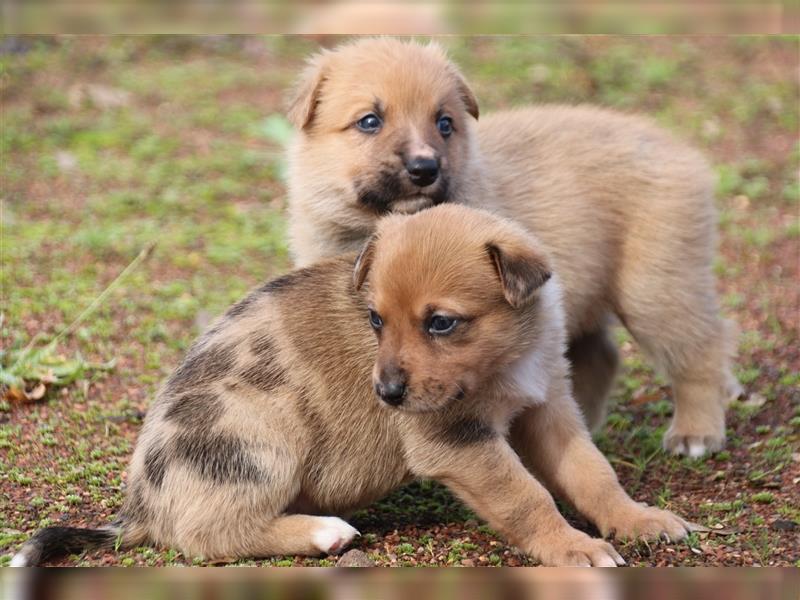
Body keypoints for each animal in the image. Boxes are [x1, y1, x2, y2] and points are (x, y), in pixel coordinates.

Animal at [10, 206, 688, 568]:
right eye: (375, 320)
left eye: (441, 323)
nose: (386, 395)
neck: (504, 360)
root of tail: (140, 509)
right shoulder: (457, 440)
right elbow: (528, 497)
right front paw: (572, 548)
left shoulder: (549, 409)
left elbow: (593, 475)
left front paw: (638, 521)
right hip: (263, 435)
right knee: (208, 537)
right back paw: (321, 531)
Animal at [284, 37, 740, 458]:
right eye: (370, 121)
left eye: (444, 123)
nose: (425, 168)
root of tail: (678, 149)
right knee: (600, 357)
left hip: (656, 289)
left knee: (701, 348)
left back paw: (696, 432)